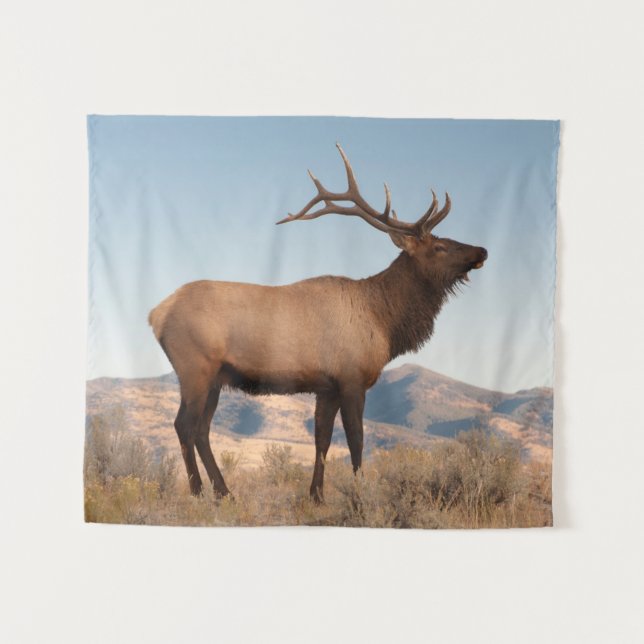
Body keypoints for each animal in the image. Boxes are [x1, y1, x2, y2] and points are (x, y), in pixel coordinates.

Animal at [148, 144, 487, 503]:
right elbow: (356, 439)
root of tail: (156, 314)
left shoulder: (327, 386)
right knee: (184, 425)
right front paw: (359, 493)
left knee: (201, 429)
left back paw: (224, 492)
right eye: (440, 246)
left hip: (216, 378)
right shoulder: (352, 378)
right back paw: (198, 492)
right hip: (195, 368)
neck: (384, 321)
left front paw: (317, 495)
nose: (482, 250)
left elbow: (322, 439)